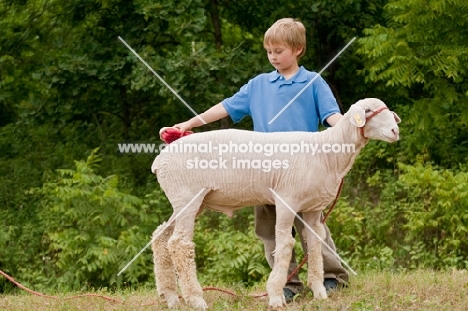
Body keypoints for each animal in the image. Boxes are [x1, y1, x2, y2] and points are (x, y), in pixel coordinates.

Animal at [149, 97, 398, 310]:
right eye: (367, 111)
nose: (396, 131)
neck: (326, 153)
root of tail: (160, 160)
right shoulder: (286, 200)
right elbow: (285, 244)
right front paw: (276, 296)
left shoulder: (313, 207)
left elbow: (314, 245)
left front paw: (319, 293)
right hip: (187, 196)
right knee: (179, 244)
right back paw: (195, 299)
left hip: (187, 201)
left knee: (160, 237)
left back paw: (170, 297)